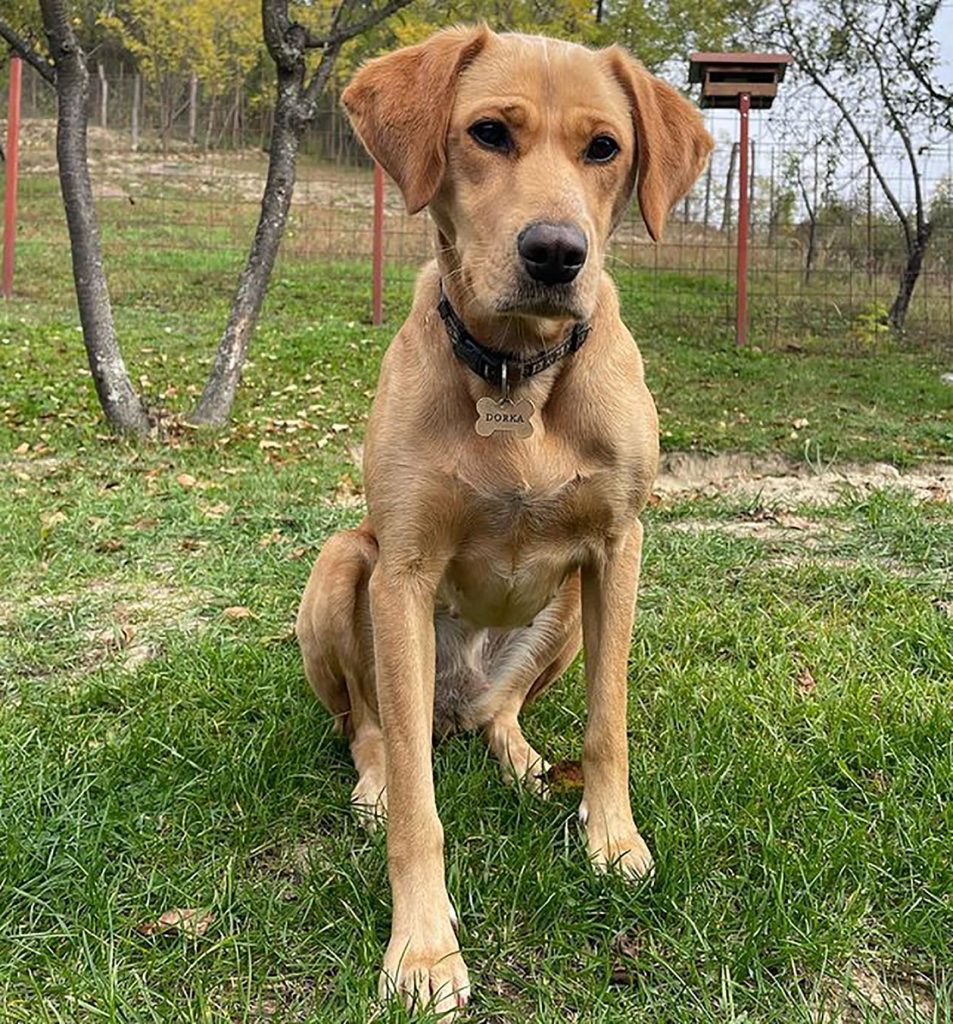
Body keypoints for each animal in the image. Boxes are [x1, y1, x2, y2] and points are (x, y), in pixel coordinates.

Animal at [294, 24, 712, 1015]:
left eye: (605, 148)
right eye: (487, 132)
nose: (557, 253)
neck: (518, 372)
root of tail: (455, 706)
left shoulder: (617, 549)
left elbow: (607, 723)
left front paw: (612, 838)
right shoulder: (402, 568)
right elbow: (419, 808)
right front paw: (422, 949)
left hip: (563, 615)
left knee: (501, 709)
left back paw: (520, 757)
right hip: (340, 568)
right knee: (372, 726)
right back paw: (374, 780)